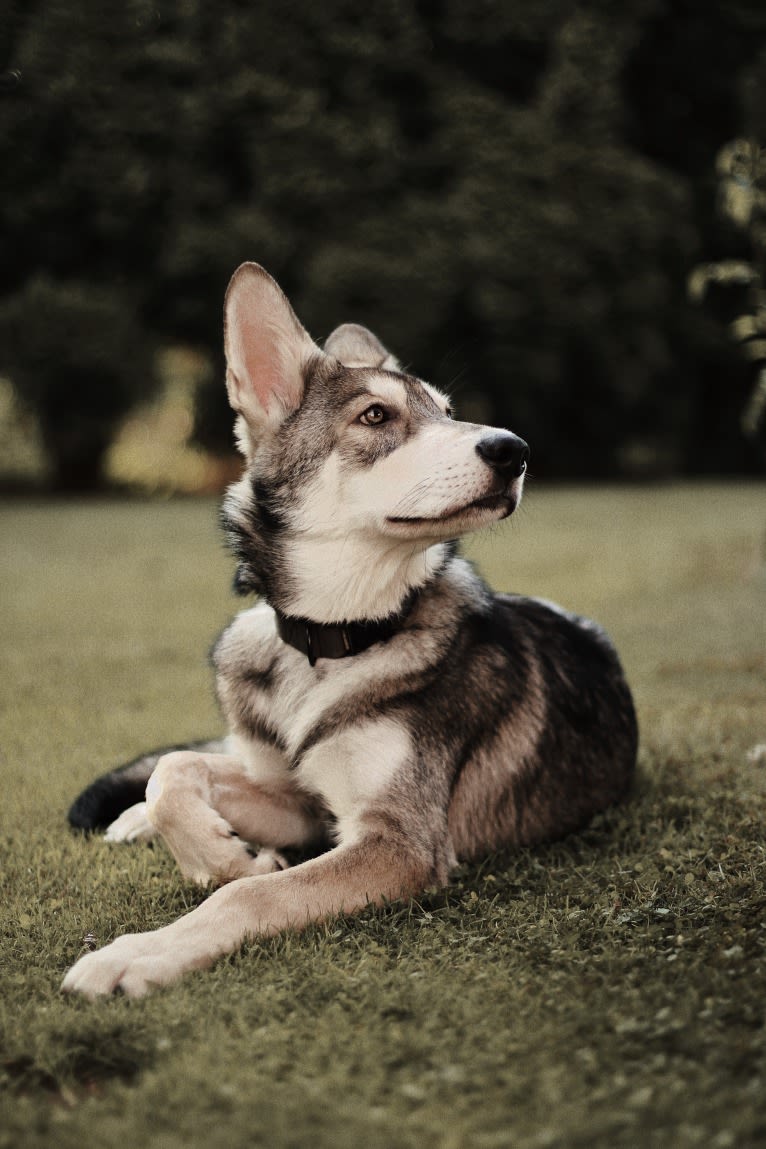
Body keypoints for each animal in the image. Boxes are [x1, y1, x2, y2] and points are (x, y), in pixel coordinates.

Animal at [60, 260, 638, 997]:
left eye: (448, 413)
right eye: (376, 415)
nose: (515, 449)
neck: (328, 641)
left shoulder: (395, 841)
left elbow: (248, 895)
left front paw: (140, 951)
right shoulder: (300, 799)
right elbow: (174, 773)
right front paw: (223, 851)